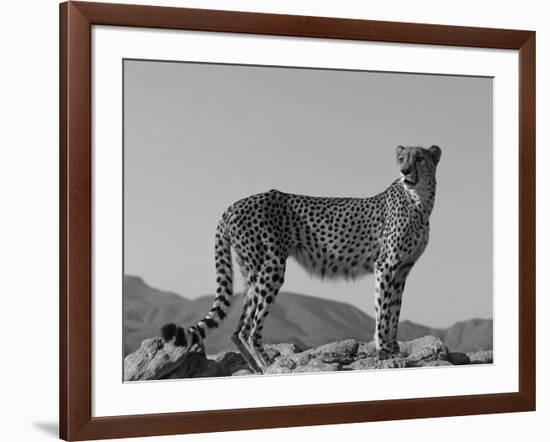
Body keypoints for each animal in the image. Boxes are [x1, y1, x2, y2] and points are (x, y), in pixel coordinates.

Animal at [163, 145, 444, 372]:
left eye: (419, 158)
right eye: (401, 158)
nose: (405, 171)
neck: (419, 201)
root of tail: (234, 205)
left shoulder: (402, 270)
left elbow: (394, 309)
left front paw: (393, 348)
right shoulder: (385, 266)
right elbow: (383, 310)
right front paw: (384, 351)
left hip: (252, 273)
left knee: (239, 329)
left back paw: (257, 368)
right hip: (271, 267)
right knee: (251, 329)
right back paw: (269, 365)